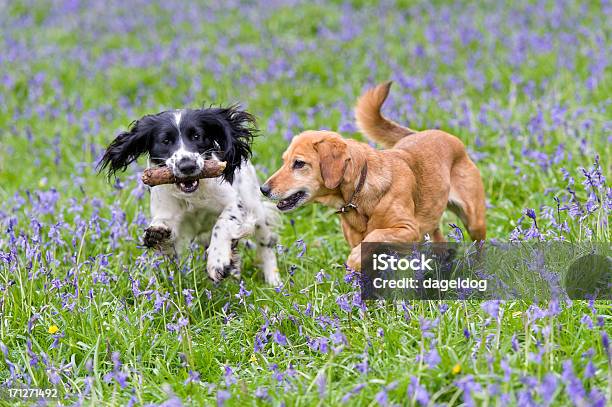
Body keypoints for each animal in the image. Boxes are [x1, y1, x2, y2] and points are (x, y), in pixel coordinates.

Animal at [99, 107, 280, 286]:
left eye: (196, 136)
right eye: (165, 141)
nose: (187, 165)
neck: (193, 196)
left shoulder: (234, 203)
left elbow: (222, 224)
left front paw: (217, 262)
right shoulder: (175, 222)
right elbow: (165, 234)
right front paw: (156, 234)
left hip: (256, 211)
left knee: (266, 245)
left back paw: (273, 281)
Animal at [260, 81, 486, 270]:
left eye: (299, 163)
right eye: (284, 161)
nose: (263, 189)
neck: (359, 192)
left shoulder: (408, 229)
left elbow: (375, 235)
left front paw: (354, 258)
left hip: (474, 220)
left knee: (479, 245)